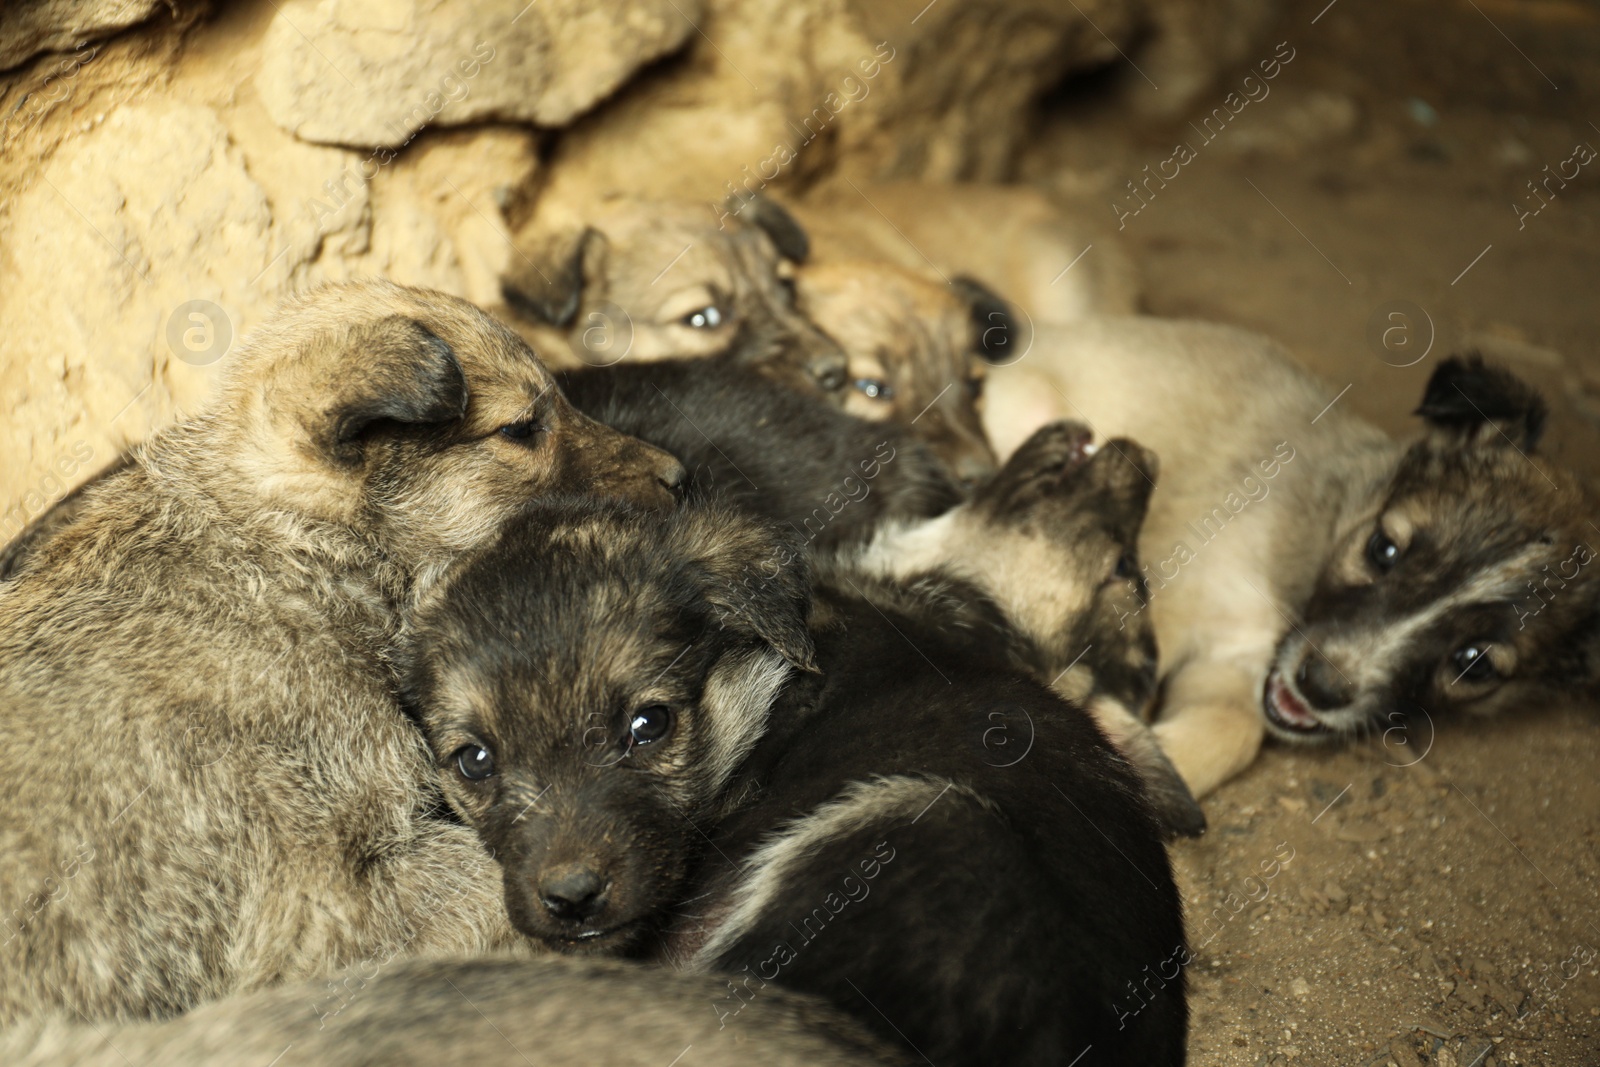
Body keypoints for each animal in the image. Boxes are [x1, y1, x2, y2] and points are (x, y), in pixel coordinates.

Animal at [985, 321, 1600, 796]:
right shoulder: (1167, 602)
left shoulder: (1233, 667)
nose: (1320, 687)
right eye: (1383, 549)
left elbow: (1232, 733)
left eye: (1474, 663)